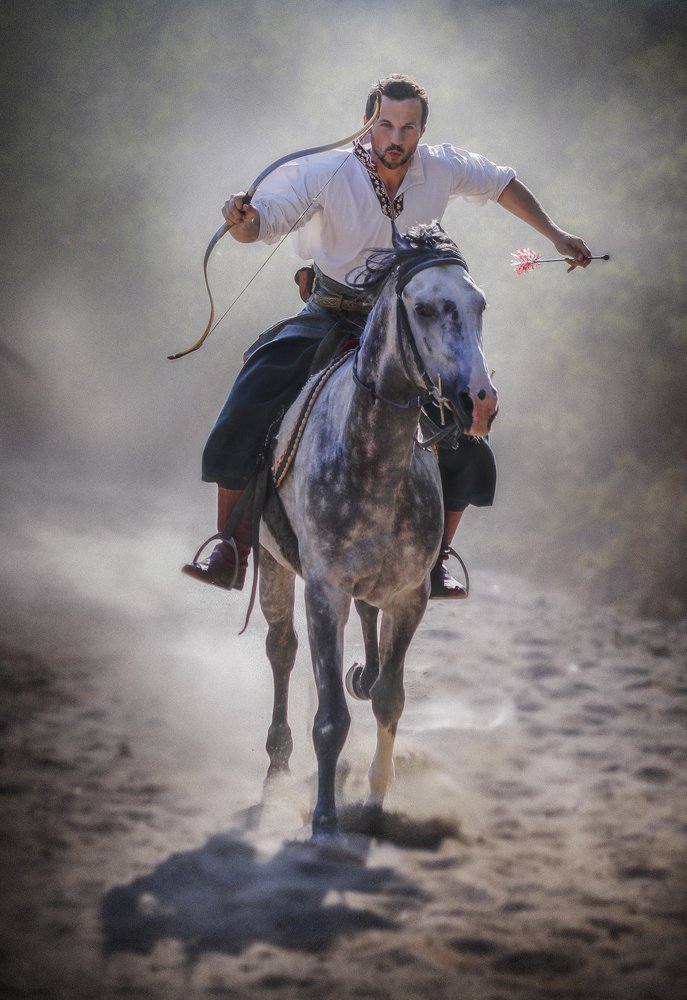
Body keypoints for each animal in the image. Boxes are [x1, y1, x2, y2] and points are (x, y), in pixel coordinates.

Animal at [258, 223, 498, 838]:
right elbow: (329, 716)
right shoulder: (325, 592)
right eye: (424, 307)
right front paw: (324, 818)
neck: (373, 463)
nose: (480, 401)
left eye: (478, 304)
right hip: (273, 565)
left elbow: (391, 696)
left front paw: (374, 800)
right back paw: (276, 768)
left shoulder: (411, 596)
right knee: (281, 650)